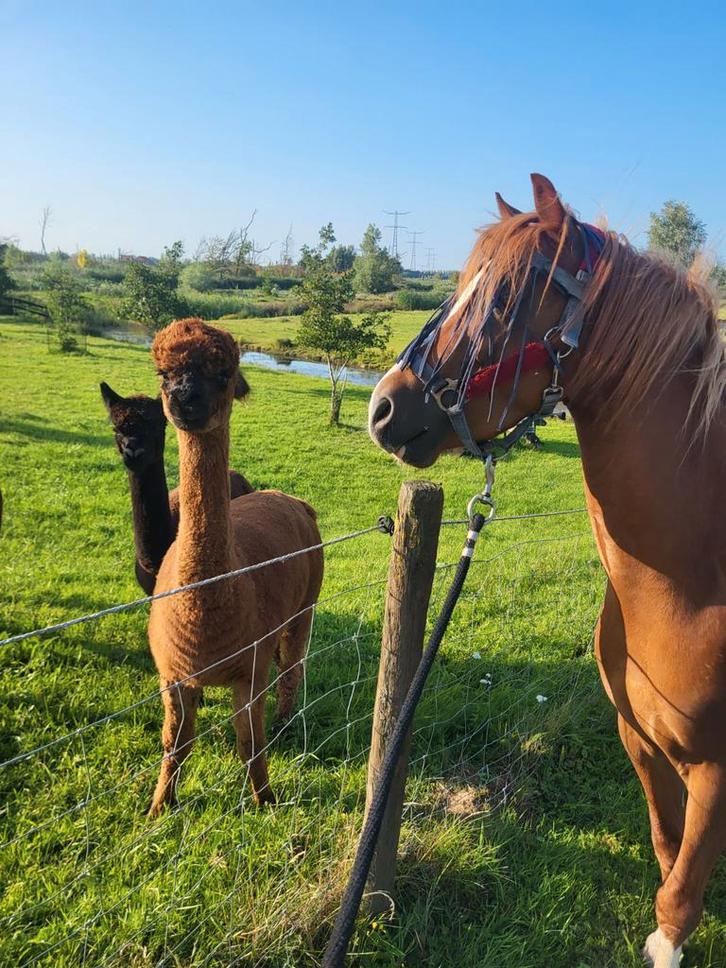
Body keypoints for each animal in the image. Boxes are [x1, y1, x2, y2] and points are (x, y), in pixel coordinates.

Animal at [368, 174, 726, 967]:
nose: (382, 407)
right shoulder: (641, 741)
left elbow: (679, 898)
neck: (691, 586)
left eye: (504, 297)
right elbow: (668, 855)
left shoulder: (719, 774)